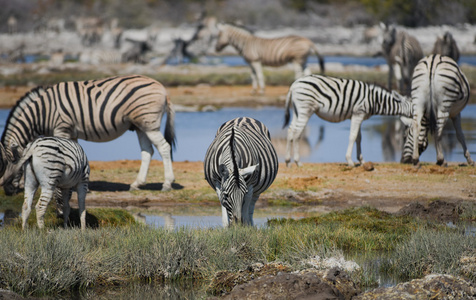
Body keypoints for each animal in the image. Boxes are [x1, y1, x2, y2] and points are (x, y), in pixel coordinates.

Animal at [0, 74, 175, 195]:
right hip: (140, 125)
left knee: (164, 147)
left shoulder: (62, 127)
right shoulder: (72, 132)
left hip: (149, 123)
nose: (7, 191)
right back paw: (137, 184)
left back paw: (167, 184)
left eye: (10, 163)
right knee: (147, 151)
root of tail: (163, 88)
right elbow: (74, 154)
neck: (42, 112)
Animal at [284, 74, 414, 168]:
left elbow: (359, 138)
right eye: (414, 107)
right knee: (297, 133)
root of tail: (294, 85)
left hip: (297, 110)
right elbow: (352, 136)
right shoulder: (358, 114)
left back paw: (288, 161)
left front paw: (362, 161)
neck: (375, 100)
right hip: (305, 110)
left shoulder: (358, 116)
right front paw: (350, 161)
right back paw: (298, 162)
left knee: (290, 130)